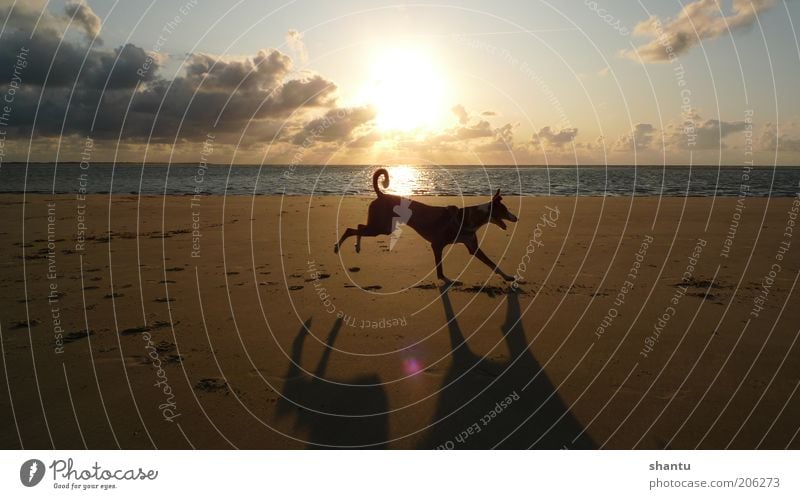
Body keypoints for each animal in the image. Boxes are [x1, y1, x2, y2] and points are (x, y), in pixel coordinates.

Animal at [332, 169, 516, 284]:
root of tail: (381, 195)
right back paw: (338, 247)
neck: (468, 218)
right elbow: (440, 269)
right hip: (381, 227)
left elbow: (492, 264)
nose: (517, 218)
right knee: (351, 229)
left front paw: (507, 277)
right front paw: (448, 280)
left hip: (382, 227)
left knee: (359, 226)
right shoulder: (437, 245)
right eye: (505, 210)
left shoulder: (473, 247)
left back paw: (357, 246)